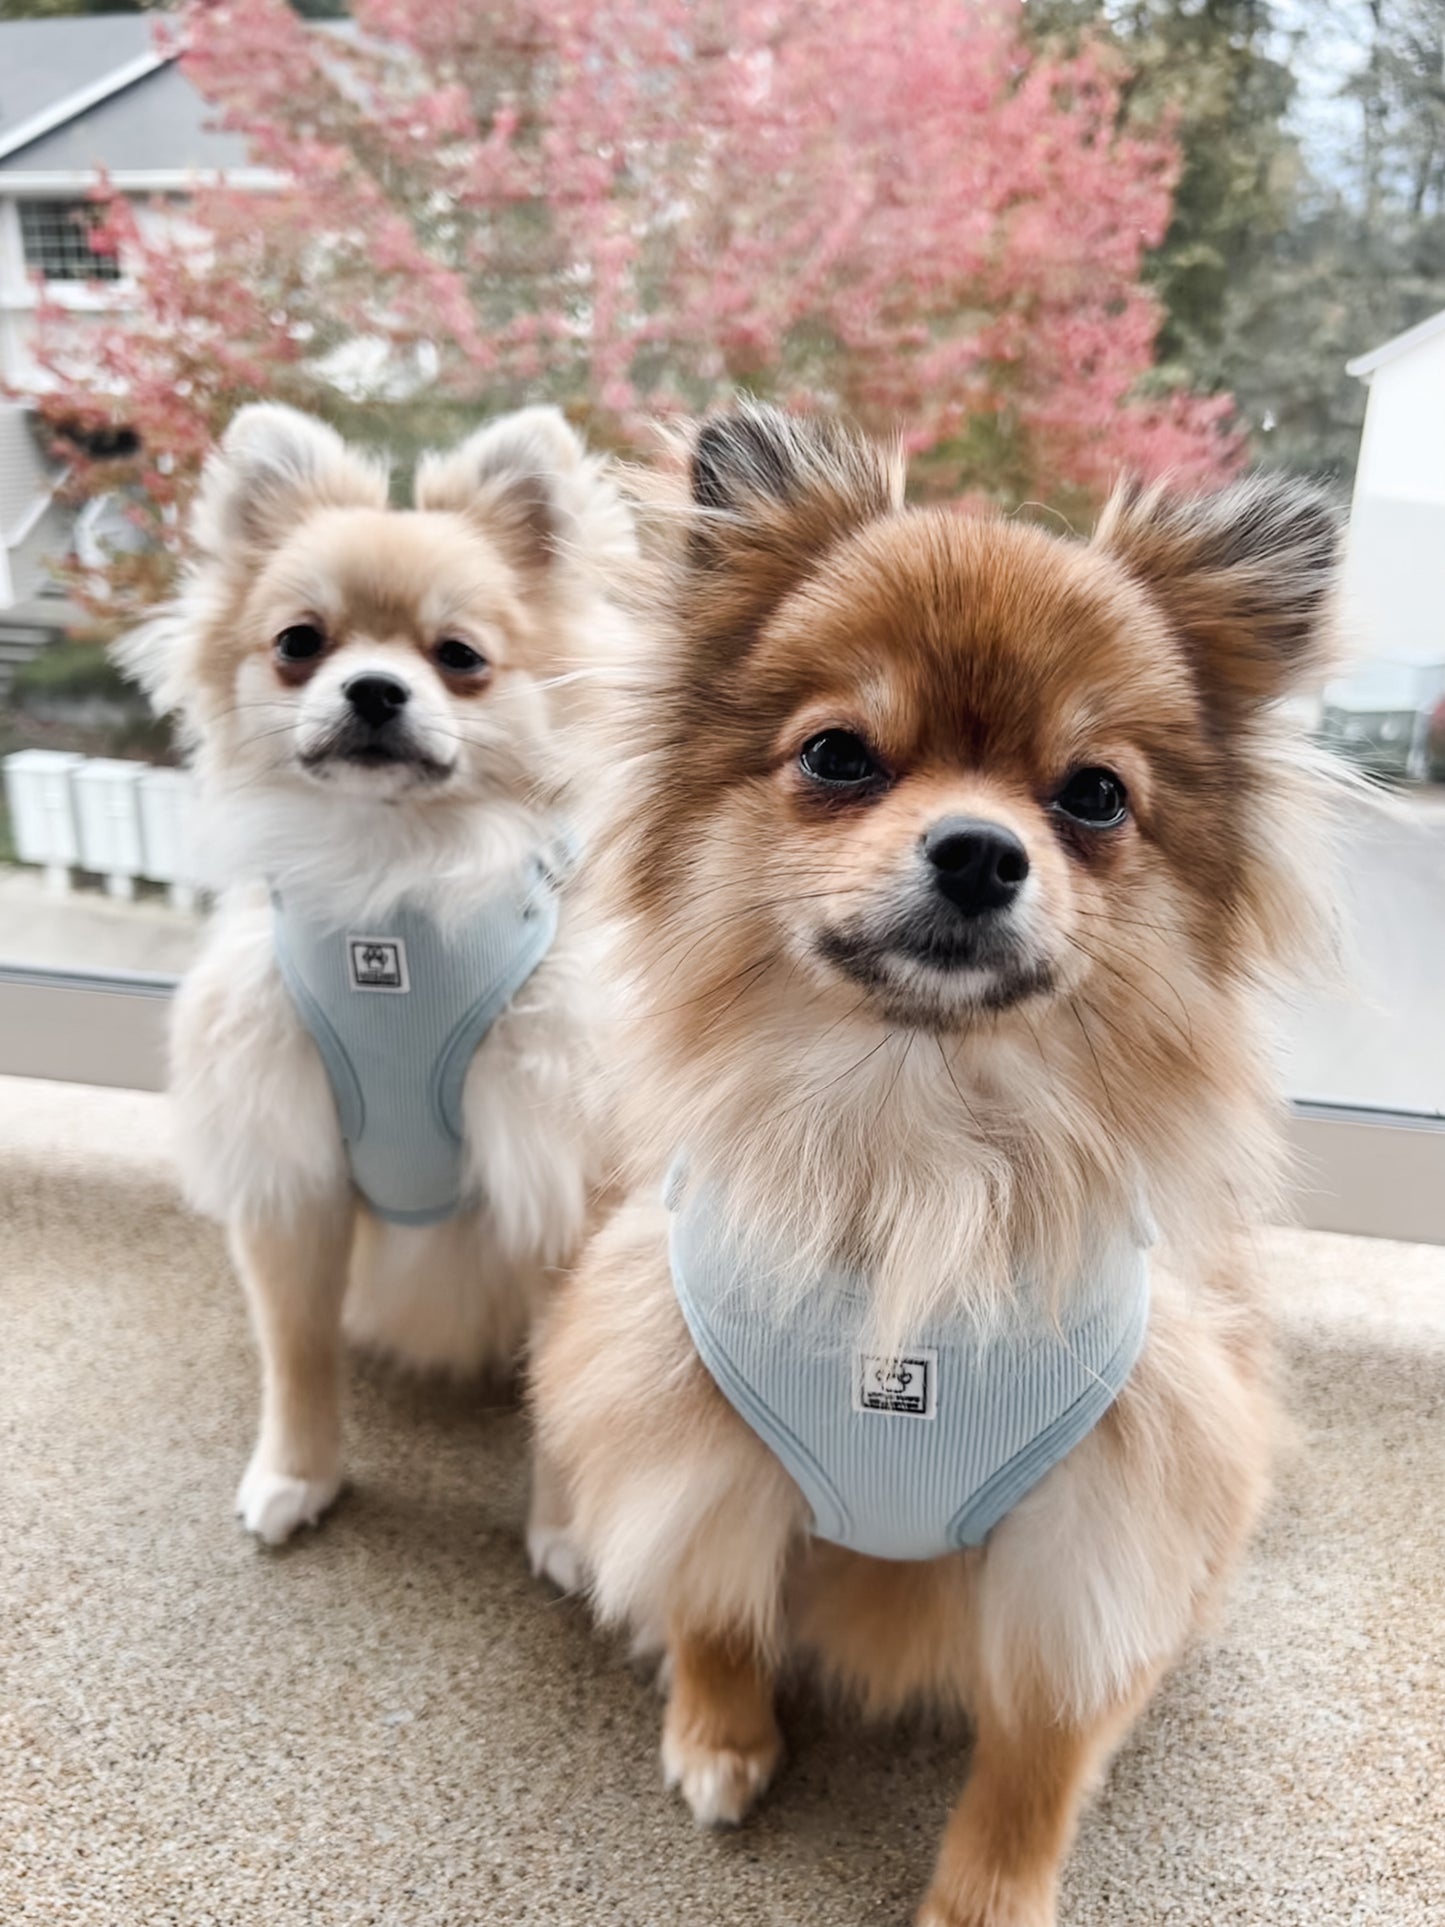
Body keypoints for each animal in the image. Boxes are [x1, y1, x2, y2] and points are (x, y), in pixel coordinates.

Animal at [131, 402, 631, 1549]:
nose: (371, 687)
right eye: (297, 643)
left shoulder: (554, 1175)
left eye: (459, 658)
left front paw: (562, 1531)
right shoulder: (291, 1166)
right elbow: (297, 1350)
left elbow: (560, 1378)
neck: (389, 884)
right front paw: (297, 1473)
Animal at [535, 406, 1348, 1927]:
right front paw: (720, 1734)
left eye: (1093, 794)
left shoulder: (1097, 1528)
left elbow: (1040, 1745)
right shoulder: (691, 1427)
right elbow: (712, 1600)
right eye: (839, 755)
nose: (977, 849)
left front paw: (988, 1894)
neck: (918, 1148)